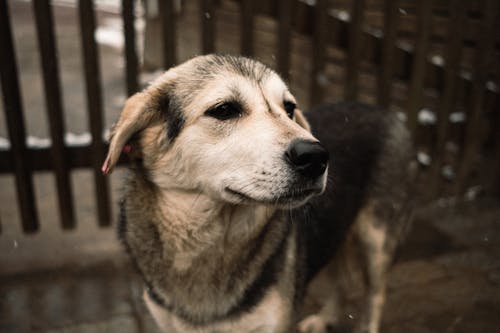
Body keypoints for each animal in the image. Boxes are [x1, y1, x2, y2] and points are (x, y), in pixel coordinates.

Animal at [102, 53, 414, 330]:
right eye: (224, 110)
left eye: (289, 108)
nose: (316, 157)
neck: (206, 240)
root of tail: (386, 111)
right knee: (343, 281)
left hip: (377, 241)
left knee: (375, 296)